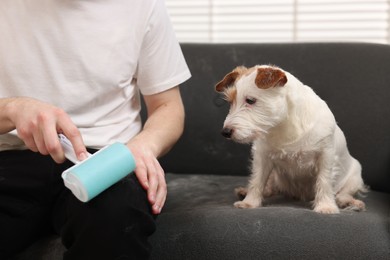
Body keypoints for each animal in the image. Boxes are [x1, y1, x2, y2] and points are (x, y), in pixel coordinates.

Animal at [215, 64, 368, 213]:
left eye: (250, 100)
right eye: (230, 102)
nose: (225, 132)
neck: (284, 126)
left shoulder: (326, 155)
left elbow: (324, 181)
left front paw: (326, 206)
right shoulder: (262, 157)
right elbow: (257, 180)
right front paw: (249, 202)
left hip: (355, 176)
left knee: (343, 193)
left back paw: (350, 202)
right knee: (270, 187)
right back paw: (245, 192)